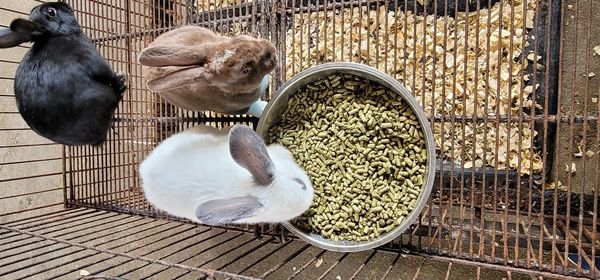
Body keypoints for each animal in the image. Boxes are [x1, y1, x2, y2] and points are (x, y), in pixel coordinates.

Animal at [0, 1, 126, 147]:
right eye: (51, 12)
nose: (65, 3)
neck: (56, 35)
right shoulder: (93, 59)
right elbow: (108, 75)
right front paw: (120, 79)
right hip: (105, 96)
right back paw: (121, 86)